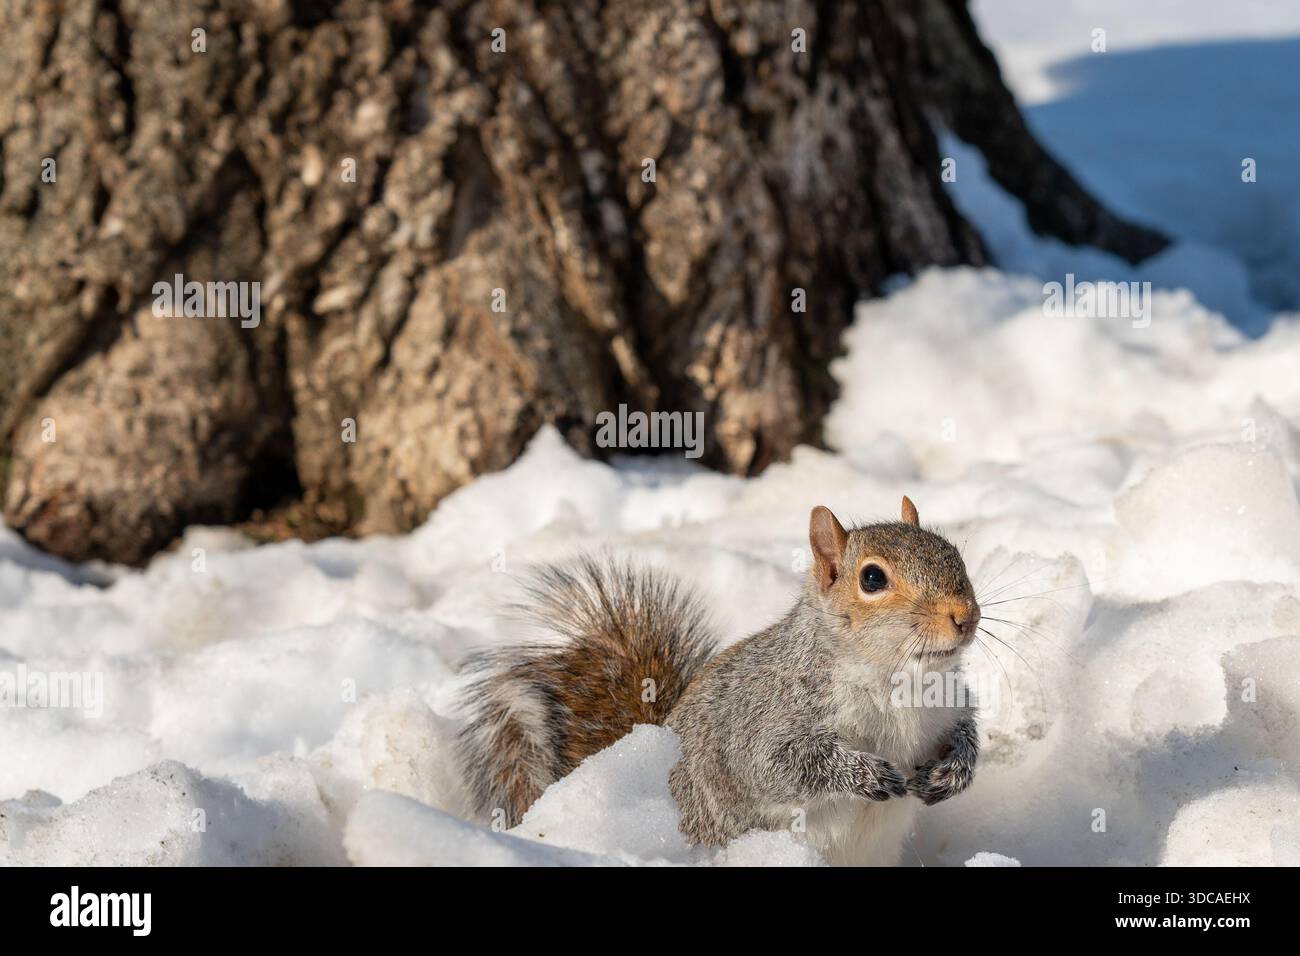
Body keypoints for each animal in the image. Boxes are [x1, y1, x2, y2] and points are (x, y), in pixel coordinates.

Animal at [455, 497, 981, 865]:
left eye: (954, 554)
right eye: (872, 579)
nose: (965, 616)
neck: (900, 676)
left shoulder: (948, 705)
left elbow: (967, 735)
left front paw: (952, 772)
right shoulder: (764, 717)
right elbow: (774, 764)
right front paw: (866, 774)